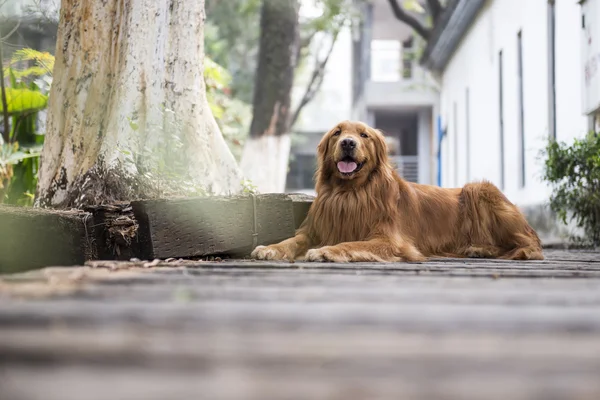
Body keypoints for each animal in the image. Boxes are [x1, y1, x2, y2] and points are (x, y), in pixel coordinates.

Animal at [250, 119, 544, 262]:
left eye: (364, 135)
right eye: (337, 133)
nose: (348, 143)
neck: (350, 193)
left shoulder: (390, 240)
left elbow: (350, 243)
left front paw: (326, 251)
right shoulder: (315, 229)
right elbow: (292, 240)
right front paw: (271, 248)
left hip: (478, 188)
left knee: (530, 244)